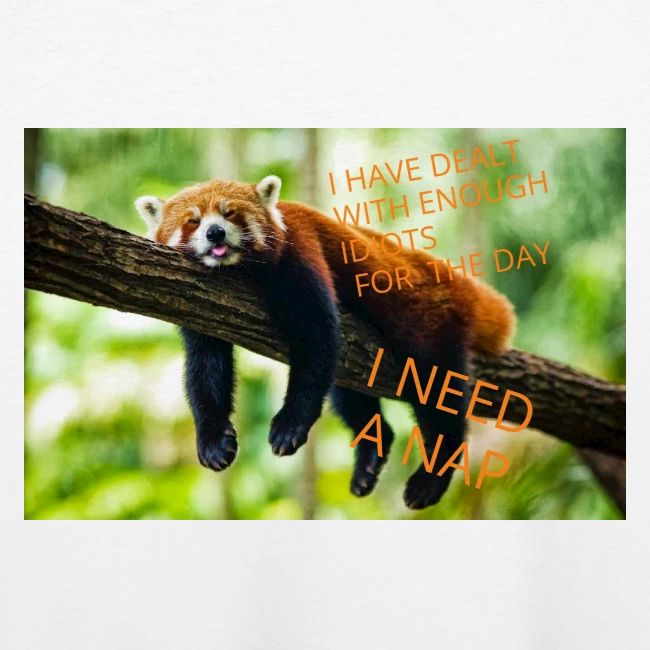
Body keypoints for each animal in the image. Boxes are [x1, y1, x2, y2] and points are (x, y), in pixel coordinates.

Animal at [135, 175, 515, 509]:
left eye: (230, 214)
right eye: (193, 221)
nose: (215, 232)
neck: (238, 271)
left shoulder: (300, 253)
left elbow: (316, 339)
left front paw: (290, 425)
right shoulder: (200, 304)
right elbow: (205, 367)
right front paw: (213, 441)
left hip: (427, 323)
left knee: (436, 391)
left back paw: (431, 477)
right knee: (349, 395)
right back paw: (369, 458)